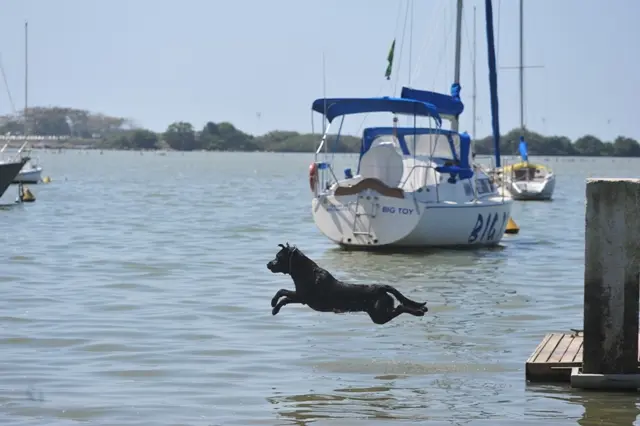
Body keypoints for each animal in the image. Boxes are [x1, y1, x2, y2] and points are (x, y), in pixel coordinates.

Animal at [268, 243, 428, 322]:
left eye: (278, 257)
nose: (268, 264)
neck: (305, 271)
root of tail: (381, 287)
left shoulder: (302, 296)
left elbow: (282, 292)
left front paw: (274, 305)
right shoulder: (301, 298)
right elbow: (285, 297)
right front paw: (275, 307)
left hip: (379, 315)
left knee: (400, 308)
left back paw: (419, 311)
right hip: (378, 312)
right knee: (399, 307)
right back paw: (420, 310)